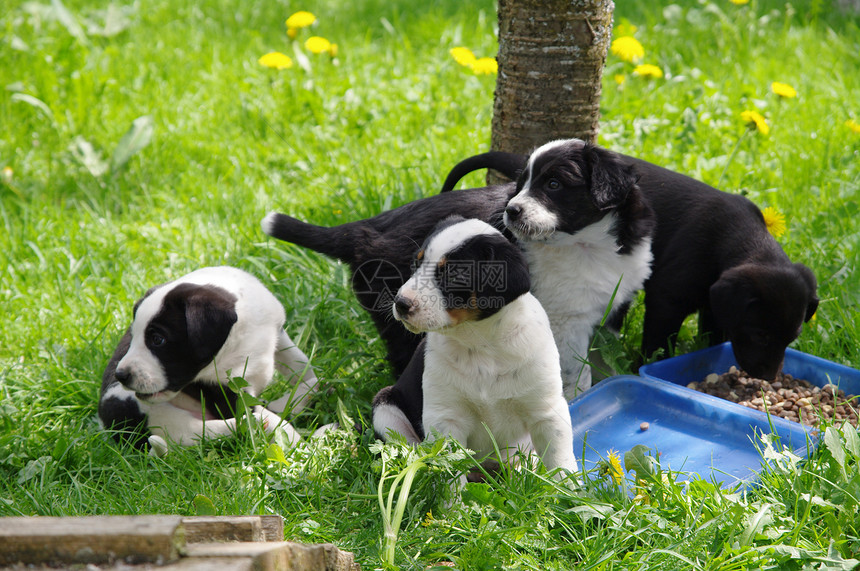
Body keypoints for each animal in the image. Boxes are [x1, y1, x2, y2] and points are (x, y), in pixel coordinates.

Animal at [98, 266, 320, 454]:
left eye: (157, 339)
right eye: (133, 336)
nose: (120, 375)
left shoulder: (278, 334)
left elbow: (301, 365)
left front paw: (310, 386)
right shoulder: (229, 394)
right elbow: (265, 418)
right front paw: (300, 446)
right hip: (157, 415)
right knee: (201, 432)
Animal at [262, 140, 652, 398]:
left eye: (554, 184)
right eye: (520, 183)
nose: (511, 211)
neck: (588, 243)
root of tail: (365, 230)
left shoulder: (609, 309)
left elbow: (603, 361)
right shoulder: (567, 320)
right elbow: (576, 373)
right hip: (400, 315)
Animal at [372, 217, 576, 480]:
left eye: (454, 274)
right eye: (416, 263)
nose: (400, 303)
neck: (481, 343)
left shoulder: (547, 412)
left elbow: (560, 461)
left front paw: (569, 489)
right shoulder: (445, 419)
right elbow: (450, 474)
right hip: (385, 408)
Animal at [440, 145, 824, 382]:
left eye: (793, 338)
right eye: (760, 333)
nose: (767, 378)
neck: (733, 235)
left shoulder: (715, 305)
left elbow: (711, 336)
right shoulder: (666, 300)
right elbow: (658, 343)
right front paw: (648, 366)